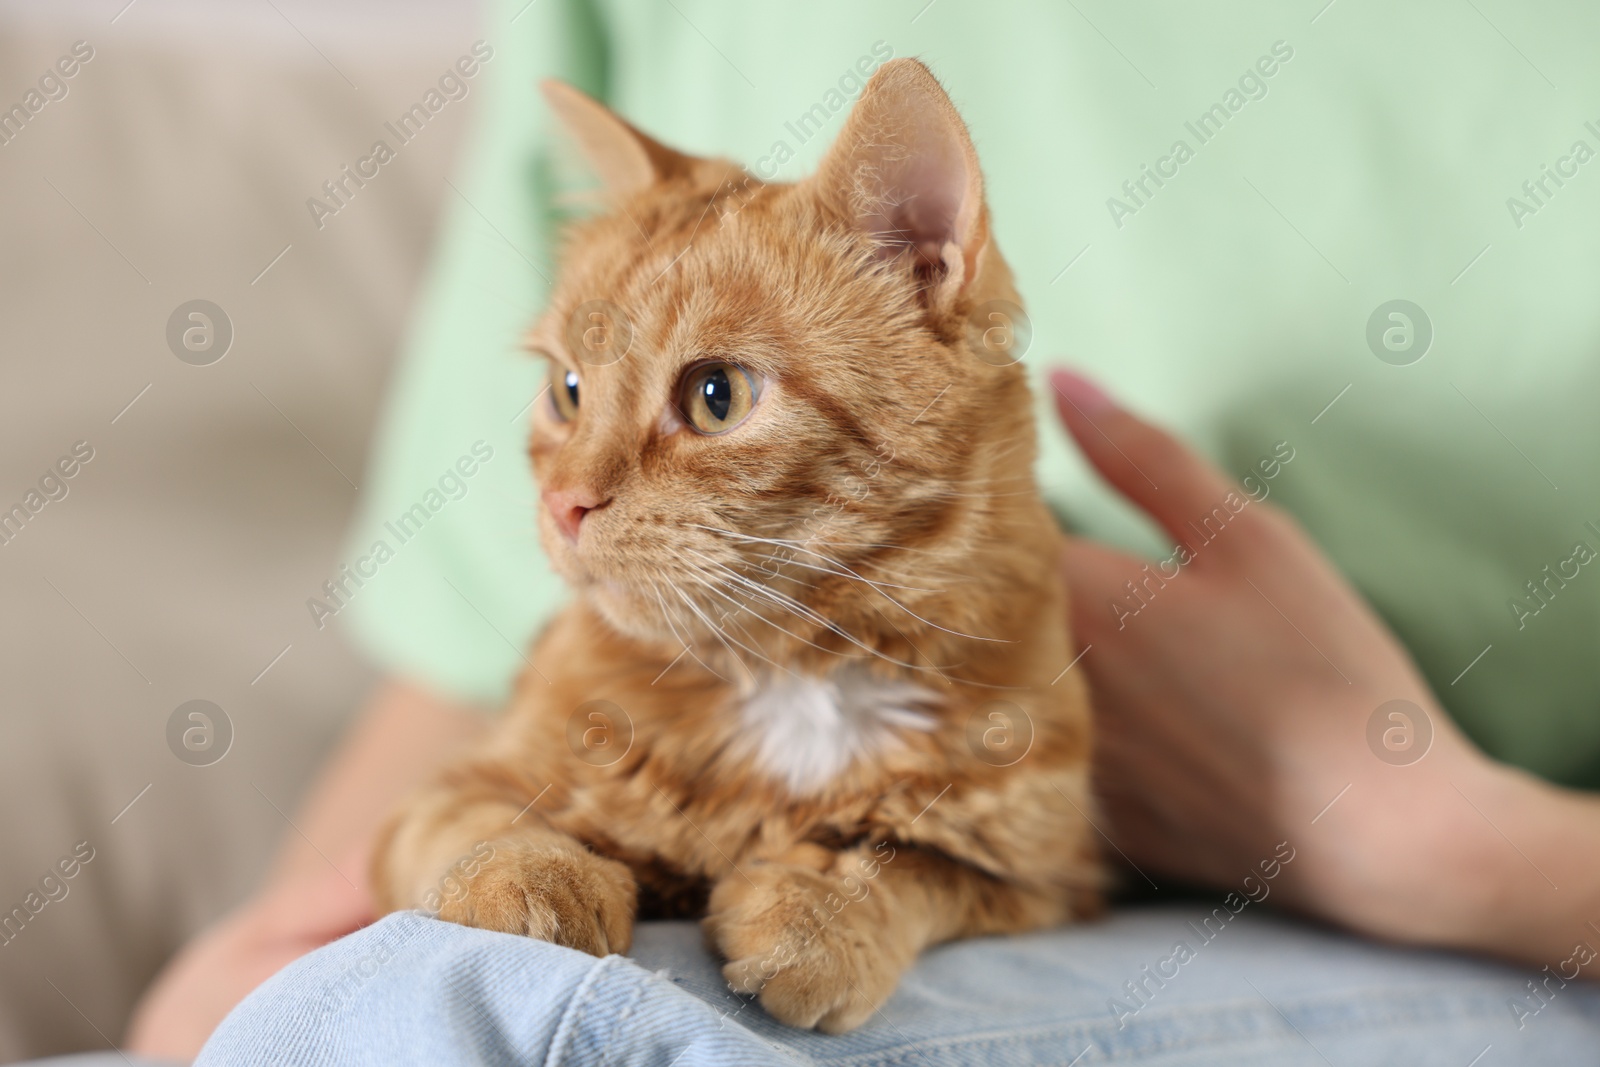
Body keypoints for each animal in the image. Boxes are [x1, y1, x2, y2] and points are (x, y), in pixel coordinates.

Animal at [372, 58, 1100, 1036]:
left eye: (717, 395)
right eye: (567, 390)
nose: (563, 504)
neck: (789, 680)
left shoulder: (1046, 879)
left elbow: (910, 864)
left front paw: (819, 915)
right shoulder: (432, 799)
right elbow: (488, 822)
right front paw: (537, 874)